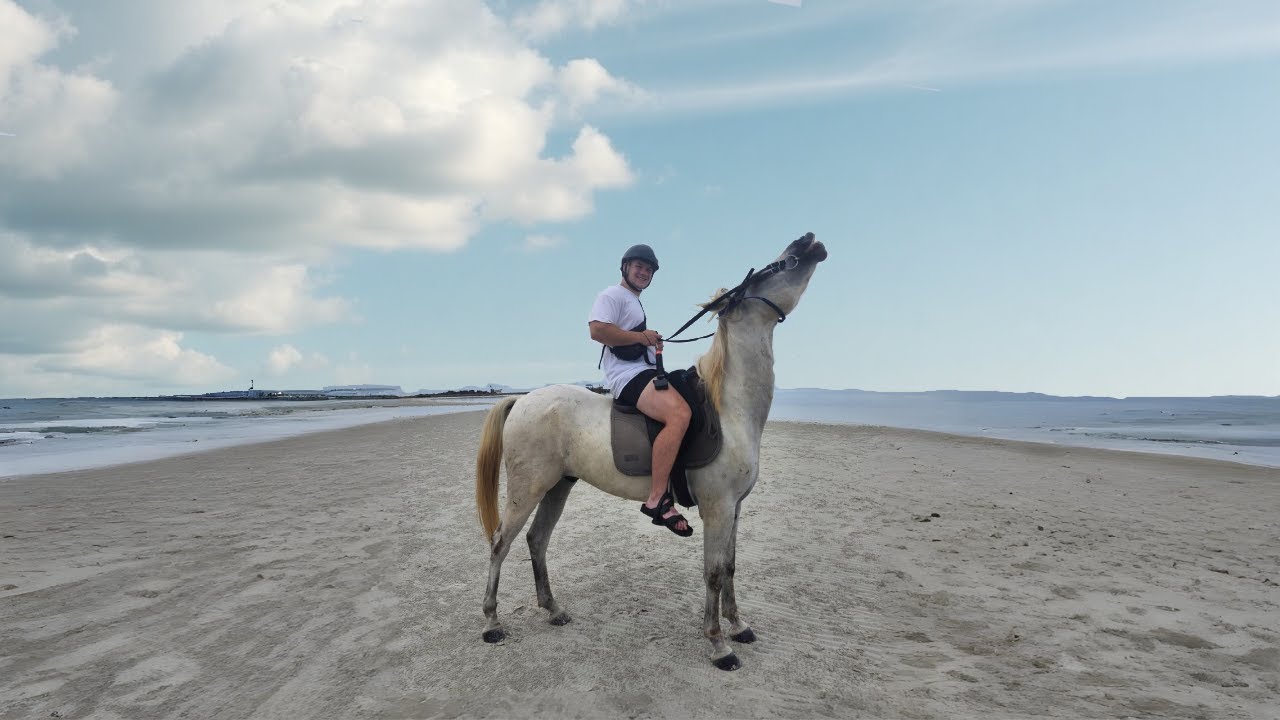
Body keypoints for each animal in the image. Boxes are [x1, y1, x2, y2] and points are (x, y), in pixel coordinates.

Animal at [474, 233, 828, 670]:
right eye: (772, 268)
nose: (808, 240)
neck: (729, 408)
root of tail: (523, 400)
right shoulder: (718, 507)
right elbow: (713, 572)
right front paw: (718, 644)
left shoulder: (735, 507)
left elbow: (730, 566)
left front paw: (739, 626)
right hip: (527, 489)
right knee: (500, 543)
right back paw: (491, 622)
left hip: (558, 486)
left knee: (536, 541)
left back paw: (553, 609)